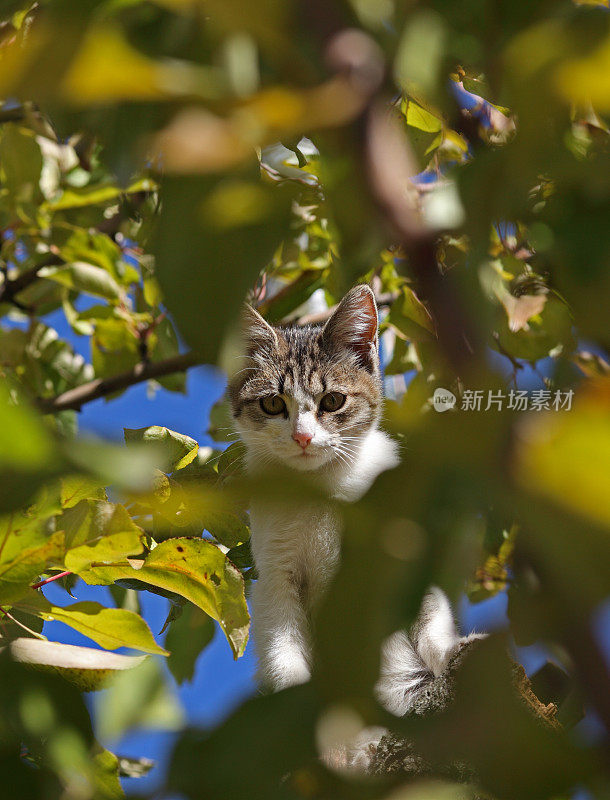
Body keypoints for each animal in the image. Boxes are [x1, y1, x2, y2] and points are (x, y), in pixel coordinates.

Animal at [228, 288, 476, 768]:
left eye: (332, 402)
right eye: (272, 404)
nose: (303, 437)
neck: (324, 488)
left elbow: (430, 612)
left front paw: (449, 652)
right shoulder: (275, 579)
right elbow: (284, 652)